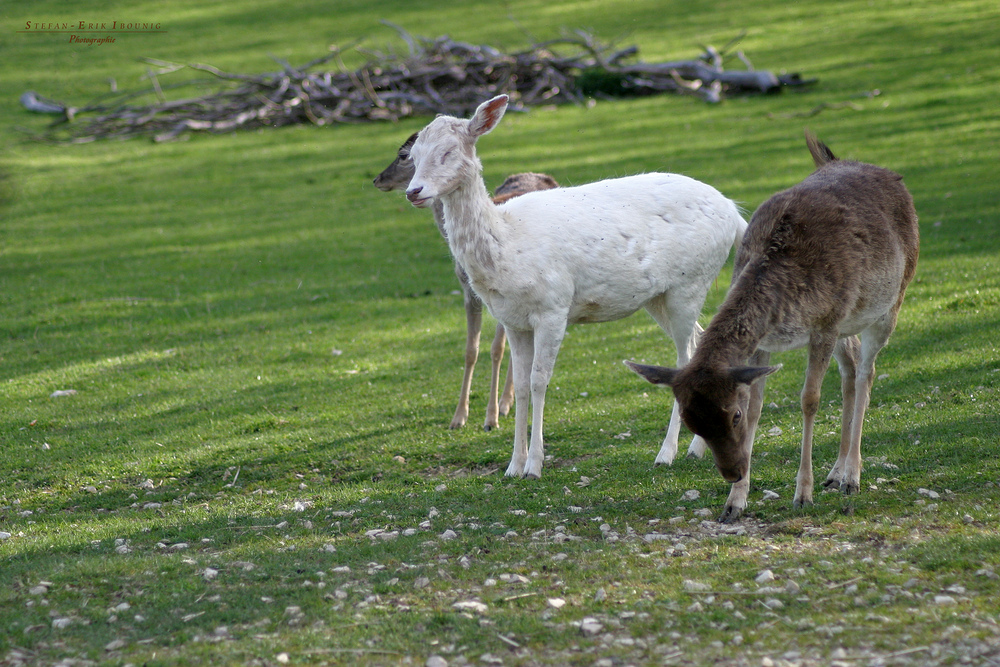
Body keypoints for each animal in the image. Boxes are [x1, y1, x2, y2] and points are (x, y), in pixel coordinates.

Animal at [376, 132, 564, 430]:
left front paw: (492, 417)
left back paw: (505, 404)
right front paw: (458, 417)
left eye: (404, 155)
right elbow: (470, 350)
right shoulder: (467, 291)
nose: (378, 179)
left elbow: (497, 349)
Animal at [402, 95, 748, 480]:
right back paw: (696, 447)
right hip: (659, 297)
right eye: (412, 155)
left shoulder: (553, 306)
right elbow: (520, 384)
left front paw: (535, 465)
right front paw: (512, 466)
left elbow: (538, 381)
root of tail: (735, 214)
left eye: (448, 151)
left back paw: (667, 452)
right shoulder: (512, 320)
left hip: (691, 282)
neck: (506, 245)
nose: (413, 191)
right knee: (700, 340)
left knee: (684, 357)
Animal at [628, 133, 916, 524]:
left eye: (731, 416)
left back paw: (851, 477)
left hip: (889, 301)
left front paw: (802, 494)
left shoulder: (825, 324)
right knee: (852, 366)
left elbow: (809, 400)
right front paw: (735, 502)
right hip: (849, 322)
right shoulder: (764, 343)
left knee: (866, 373)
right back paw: (835, 472)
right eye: (691, 422)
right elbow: (757, 404)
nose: (732, 471)